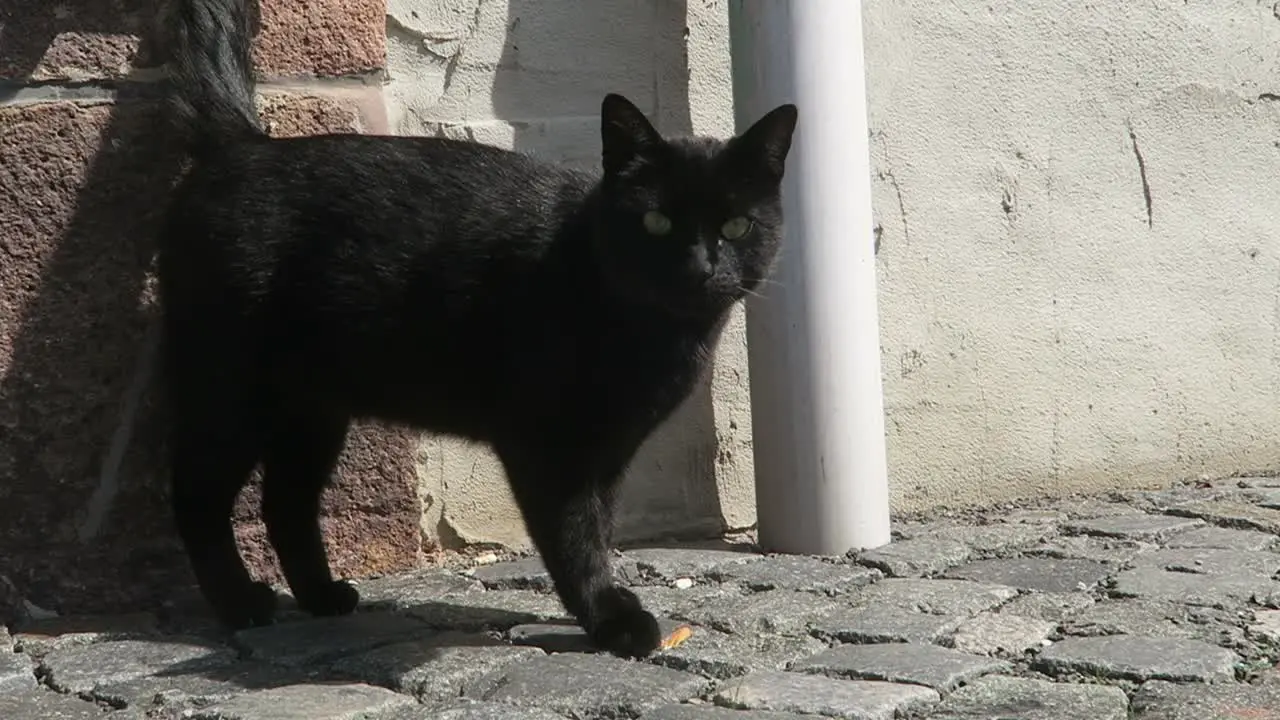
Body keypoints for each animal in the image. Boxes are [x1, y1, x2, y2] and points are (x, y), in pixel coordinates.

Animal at [160, 0, 793, 653]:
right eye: (657, 221)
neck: (651, 335)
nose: (701, 267)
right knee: (196, 495)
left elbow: (600, 526)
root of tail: (243, 145)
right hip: (233, 391)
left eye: (738, 227)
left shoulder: (612, 449)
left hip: (312, 410)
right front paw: (610, 618)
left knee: (286, 501)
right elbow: (574, 535)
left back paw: (321, 596)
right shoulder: (546, 443)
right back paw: (238, 603)